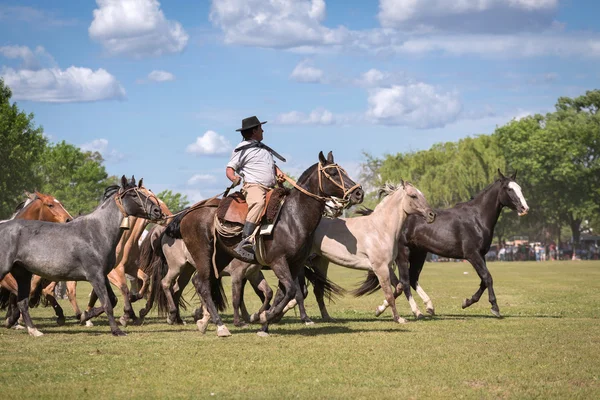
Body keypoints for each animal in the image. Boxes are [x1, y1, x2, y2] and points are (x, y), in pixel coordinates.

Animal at [170, 152, 366, 336]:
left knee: (201, 282)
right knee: (202, 284)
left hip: (220, 257)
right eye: (332, 173)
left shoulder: (295, 264)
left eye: (343, 171)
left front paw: (264, 325)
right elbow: (290, 290)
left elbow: (282, 294)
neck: (293, 218)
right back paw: (220, 325)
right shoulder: (278, 261)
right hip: (202, 254)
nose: (359, 193)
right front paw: (264, 316)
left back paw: (204, 322)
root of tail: (188, 213)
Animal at [354, 171, 528, 318]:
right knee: (404, 281)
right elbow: (488, 278)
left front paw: (467, 302)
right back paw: (417, 312)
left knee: (410, 279)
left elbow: (483, 281)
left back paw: (414, 307)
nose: (524, 208)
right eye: (509, 189)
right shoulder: (473, 255)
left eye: (520, 188)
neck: (476, 218)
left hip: (419, 254)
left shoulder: (481, 255)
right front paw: (495, 308)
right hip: (404, 254)